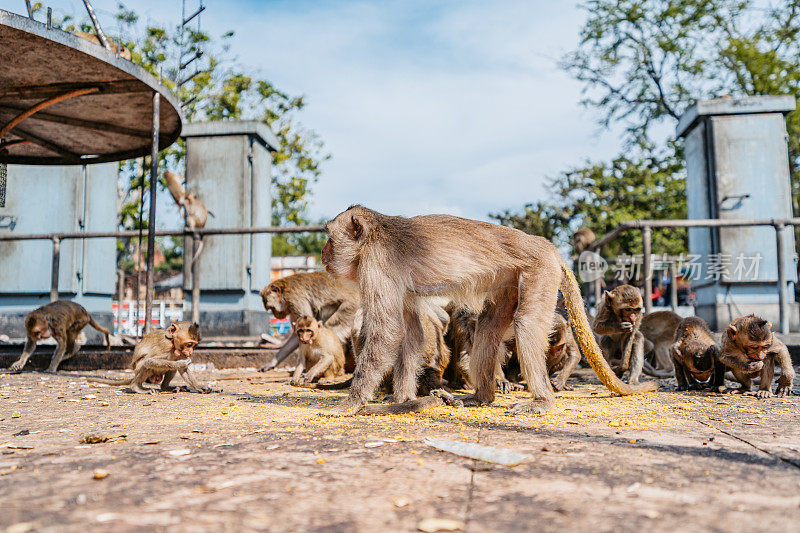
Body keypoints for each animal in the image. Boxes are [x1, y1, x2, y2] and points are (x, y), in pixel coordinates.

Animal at [318, 204, 656, 416]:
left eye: (329, 237)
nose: (322, 253)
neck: (374, 236)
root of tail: (548, 246)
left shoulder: (377, 264)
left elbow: (387, 330)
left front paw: (352, 402)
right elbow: (411, 334)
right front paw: (403, 399)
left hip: (539, 270)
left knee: (526, 323)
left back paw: (541, 400)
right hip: (510, 280)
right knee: (487, 330)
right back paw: (480, 398)